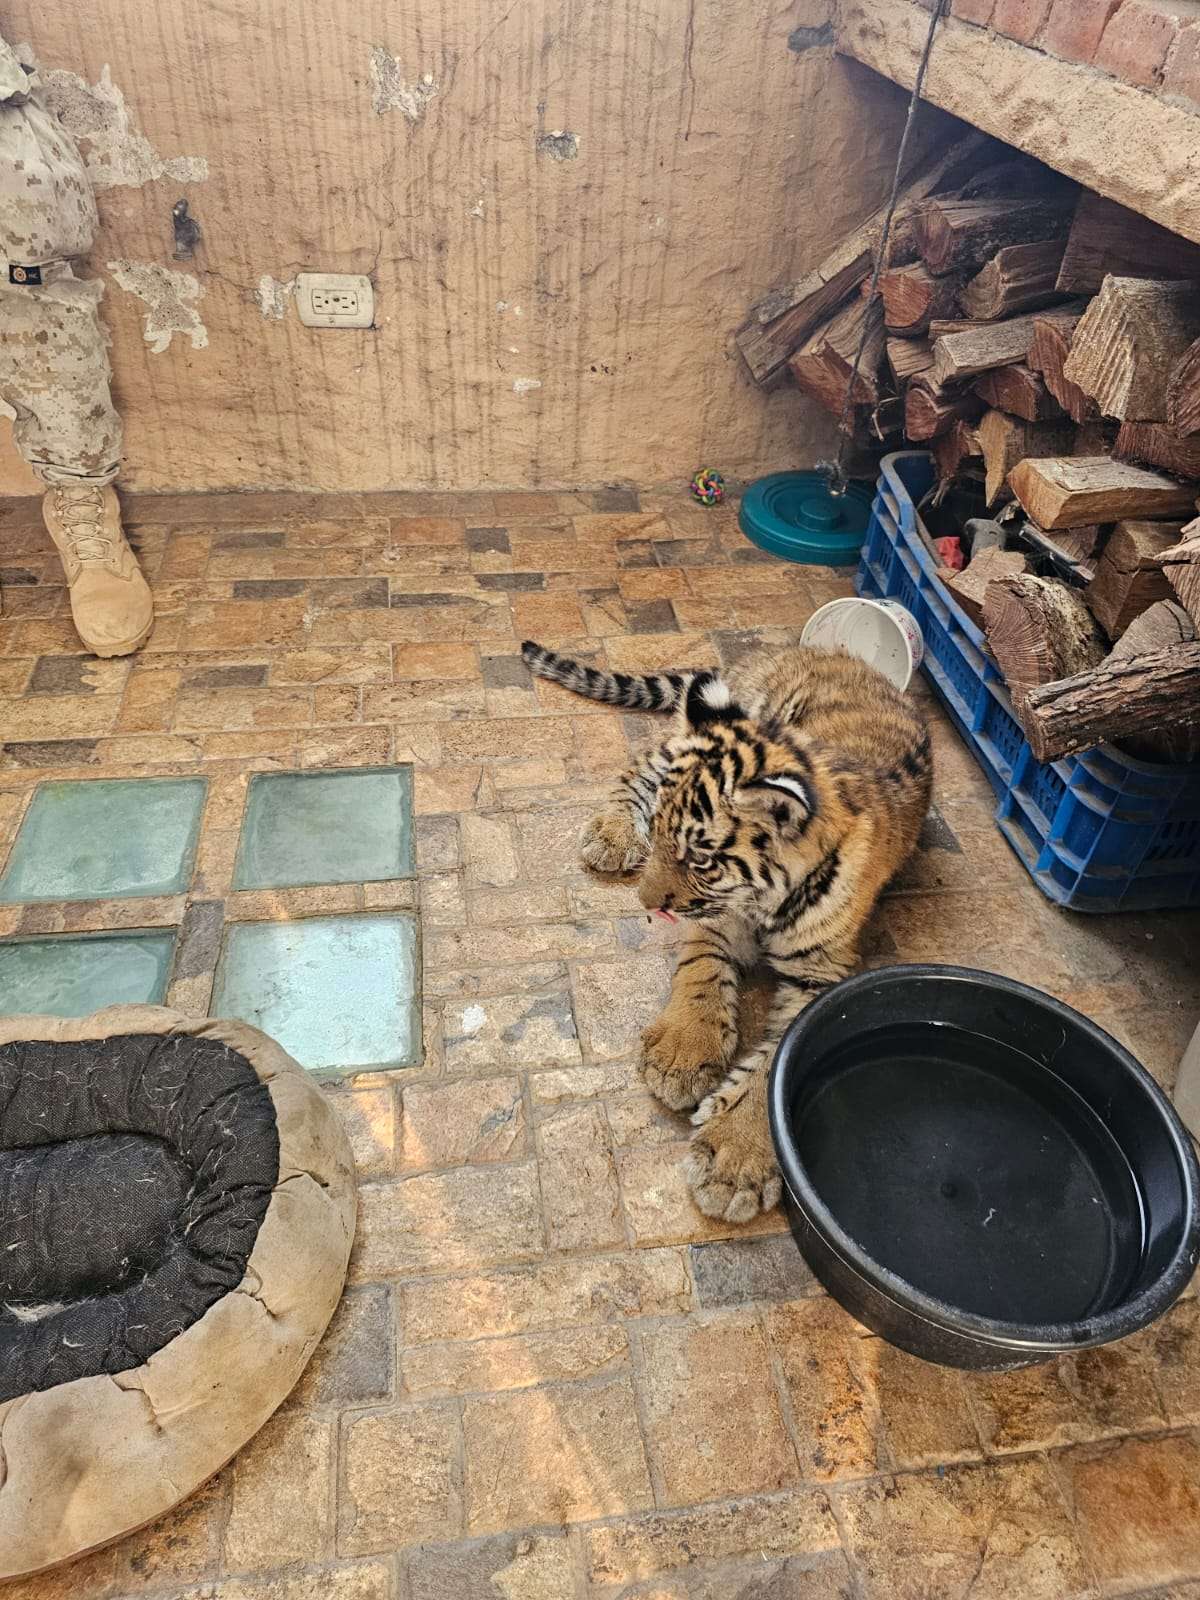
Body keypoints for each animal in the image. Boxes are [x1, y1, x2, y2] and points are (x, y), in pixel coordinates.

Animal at [521, 637, 932, 1223]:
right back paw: (612, 834)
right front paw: (681, 1056)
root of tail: (798, 647)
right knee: (642, 760)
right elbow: (700, 971)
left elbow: (776, 1061)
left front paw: (733, 1159)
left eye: (699, 859)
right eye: (661, 833)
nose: (644, 904)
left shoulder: (822, 971)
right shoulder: (715, 919)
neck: (763, 901)